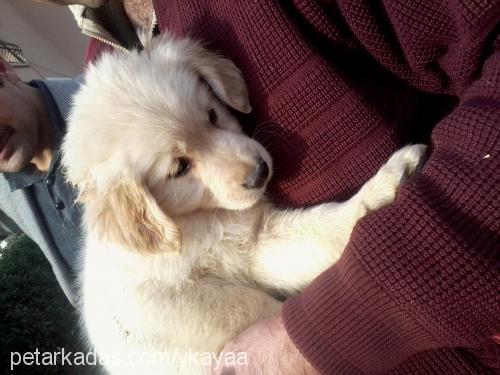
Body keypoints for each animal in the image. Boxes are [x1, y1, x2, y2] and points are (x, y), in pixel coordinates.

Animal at [61, 33, 426, 374]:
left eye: (212, 115)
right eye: (179, 168)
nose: (260, 172)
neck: (188, 219)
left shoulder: (256, 241)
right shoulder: (196, 289)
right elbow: (253, 297)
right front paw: (389, 180)